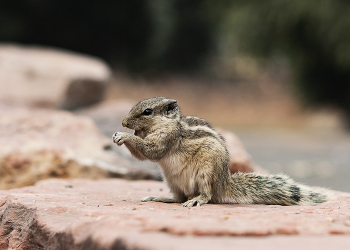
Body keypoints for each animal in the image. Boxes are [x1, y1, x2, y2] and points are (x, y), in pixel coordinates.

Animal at [113, 97, 330, 207]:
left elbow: (152, 151)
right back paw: (161, 198)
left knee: (207, 196)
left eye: (147, 112)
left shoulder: (168, 137)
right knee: (179, 198)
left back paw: (197, 200)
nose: (124, 123)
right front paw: (119, 135)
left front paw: (124, 137)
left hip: (206, 174)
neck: (167, 123)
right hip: (172, 181)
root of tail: (224, 183)